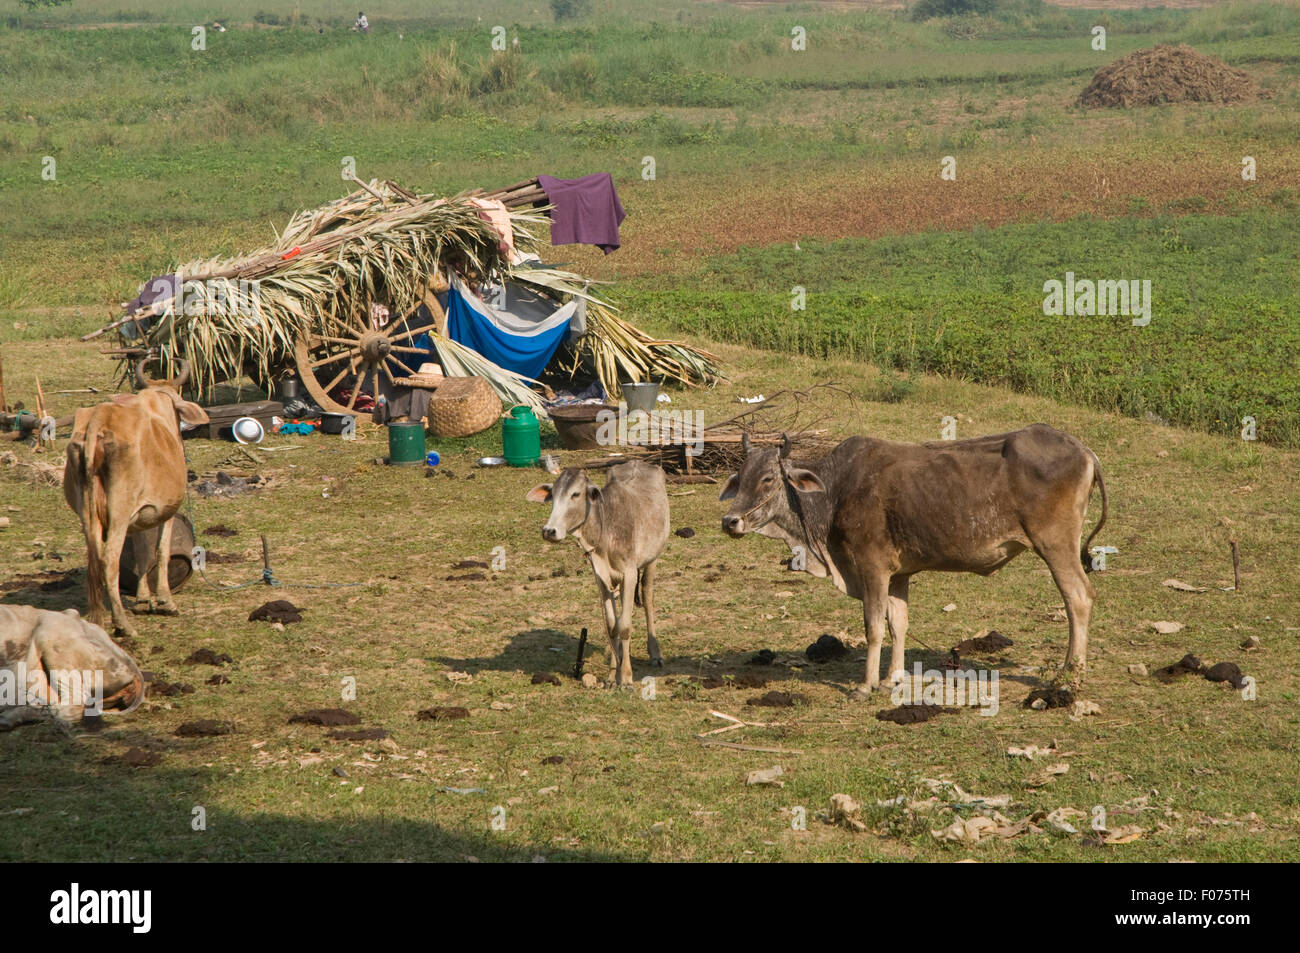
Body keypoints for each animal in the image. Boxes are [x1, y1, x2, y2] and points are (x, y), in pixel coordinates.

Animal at [64, 364, 208, 639]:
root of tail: (99, 422)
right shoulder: (166, 512)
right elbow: (161, 551)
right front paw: (165, 601)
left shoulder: (139, 515)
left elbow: (142, 553)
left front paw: (142, 599)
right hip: (118, 514)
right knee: (109, 560)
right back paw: (123, 624)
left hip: (89, 516)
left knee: (95, 559)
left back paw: (99, 621)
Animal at [527, 460, 670, 686]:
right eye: (553, 495)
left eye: (575, 494)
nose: (549, 531)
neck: (605, 527)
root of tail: (638, 461)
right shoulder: (601, 577)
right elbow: (612, 626)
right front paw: (613, 675)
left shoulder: (629, 573)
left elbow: (625, 626)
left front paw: (626, 678)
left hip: (652, 559)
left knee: (647, 596)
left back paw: (655, 654)